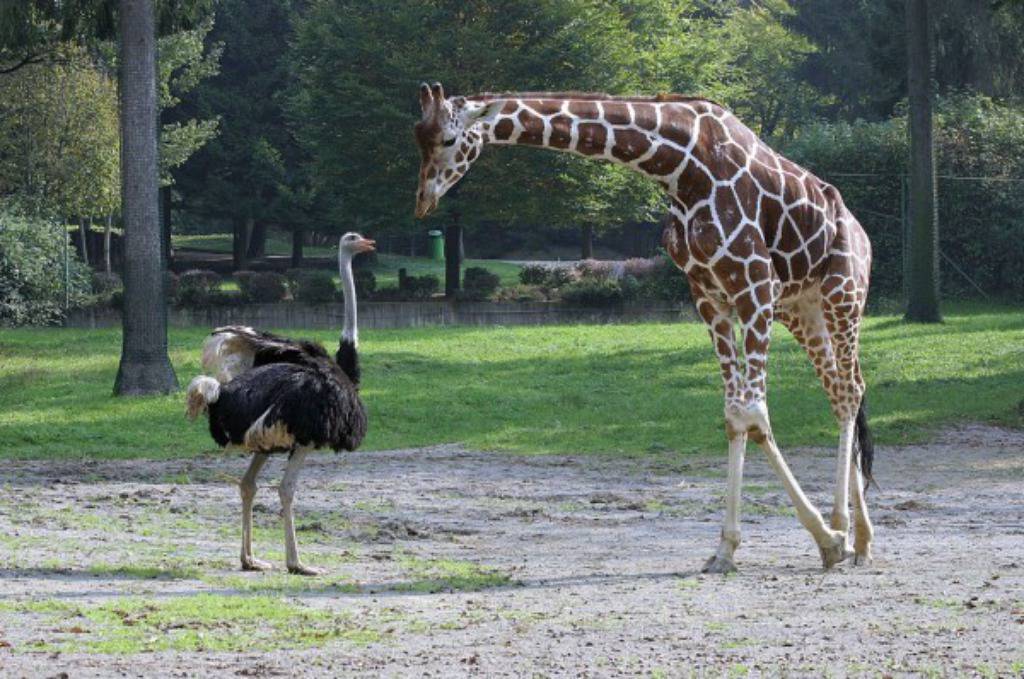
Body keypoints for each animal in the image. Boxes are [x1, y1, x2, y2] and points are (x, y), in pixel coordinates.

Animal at [411, 83, 876, 573]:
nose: (423, 199)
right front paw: (727, 549)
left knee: (849, 391)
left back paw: (849, 532)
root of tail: (860, 230)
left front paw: (826, 540)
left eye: (448, 139)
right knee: (842, 390)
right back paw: (858, 537)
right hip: (802, 308)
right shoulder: (709, 295)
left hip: (843, 294)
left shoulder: (754, 284)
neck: (680, 167)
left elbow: (753, 413)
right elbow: (735, 416)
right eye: (418, 137)